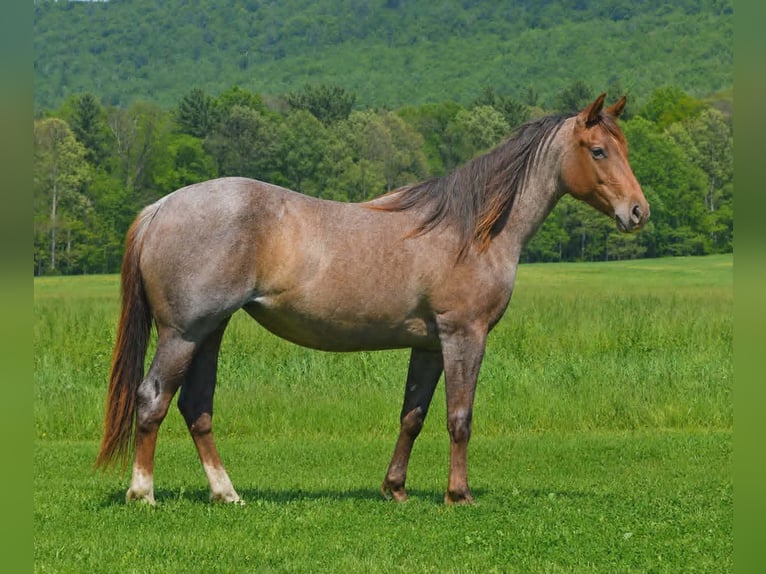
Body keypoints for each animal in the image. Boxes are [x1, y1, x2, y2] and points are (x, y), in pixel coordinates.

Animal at [96, 93, 649, 505]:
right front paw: (459, 495)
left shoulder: (428, 345)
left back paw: (226, 493)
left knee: (196, 407)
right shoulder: (463, 335)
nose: (638, 212)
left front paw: (395, 489)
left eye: (622, 146)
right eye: (598, 150)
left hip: (209, 333)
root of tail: (161, 207)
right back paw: (142, 494)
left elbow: (413, 416)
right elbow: (459, 418)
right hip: (183, 334)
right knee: (153, 399)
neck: (471, 229)